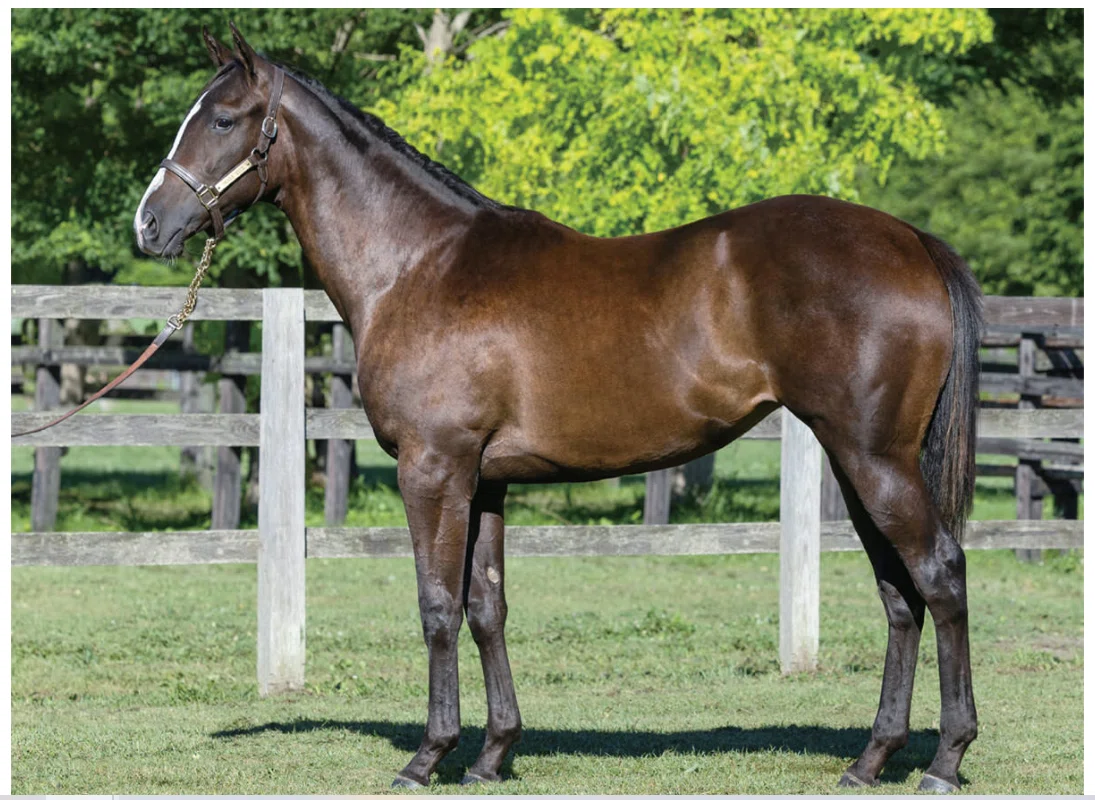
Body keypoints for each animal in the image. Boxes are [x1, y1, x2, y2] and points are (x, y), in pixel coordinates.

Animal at [134, 24, 981, 793]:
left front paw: (427, 757)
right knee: (898, 596)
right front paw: (492, 753)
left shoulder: (433, 469)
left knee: (938, 576)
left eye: (222, 119)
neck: (419, 265)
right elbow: (486, 606)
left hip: (874, 460)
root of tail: (911, 241)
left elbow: (436, 606)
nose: (148, 224)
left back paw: (943, 761)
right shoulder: (485, 479)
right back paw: (871, 761)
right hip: (854, 461)